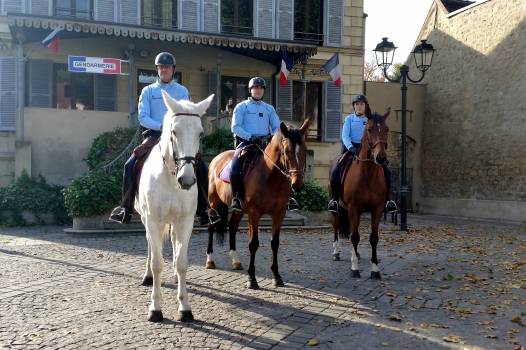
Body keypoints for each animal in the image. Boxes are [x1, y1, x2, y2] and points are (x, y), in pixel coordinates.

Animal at [138, 91, 217, 322]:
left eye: (200, 133)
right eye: (174, 131)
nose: (187, 179)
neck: (172, 179)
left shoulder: (185, 221)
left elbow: (182, 262)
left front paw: (185, 307)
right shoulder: (153, 220)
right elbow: (156, 263)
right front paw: (155, 308)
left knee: (173, 242)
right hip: (146, 220)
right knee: (150, 246)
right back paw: (147, 276)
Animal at [207, 117, 314, 288]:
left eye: (305, 149)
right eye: (286, 151)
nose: (297, 184)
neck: (270, 176)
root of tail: (217, 158)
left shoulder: (279, 213)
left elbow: (275, 243)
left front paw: (277, 276)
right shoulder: (254, 213)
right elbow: (253, 243)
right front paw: (252, 279)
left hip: (239, 209)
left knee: (232, 226)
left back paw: (235, 261)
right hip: (214, 203)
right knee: (211, 226)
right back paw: (210, 260)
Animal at [330, 108, 392, 278]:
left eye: (387, 129)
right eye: (369, 129)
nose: (381, 158)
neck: (368, 174)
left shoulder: (377, 210)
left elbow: (373, 238)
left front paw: (375, 270)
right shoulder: (354, 208)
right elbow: (355, 237)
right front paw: (354, 269)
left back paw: (355, 254)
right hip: (337, 207)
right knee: (336, 226)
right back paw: (336, 252)